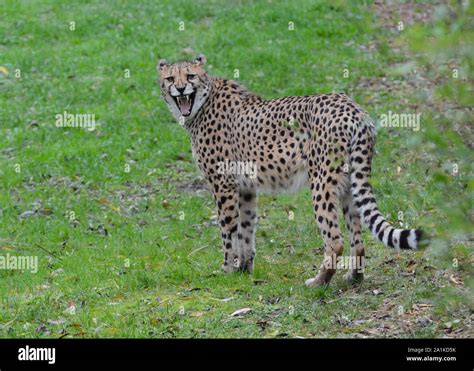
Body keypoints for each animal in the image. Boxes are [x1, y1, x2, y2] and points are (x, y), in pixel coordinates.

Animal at [156, 54, 426, 288]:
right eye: (170, 78)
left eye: (190, 76)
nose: (180, 89)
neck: (202, 102)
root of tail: (353, 108)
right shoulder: (246, 188)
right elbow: (246, 229)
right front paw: (244, 269)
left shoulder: (223, 185)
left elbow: (228, 231)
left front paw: (227, 271)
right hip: (350, 183)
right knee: (357, 239)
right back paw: (354, 277)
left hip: (321, 181)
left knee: (334, 240)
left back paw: (318, 282)